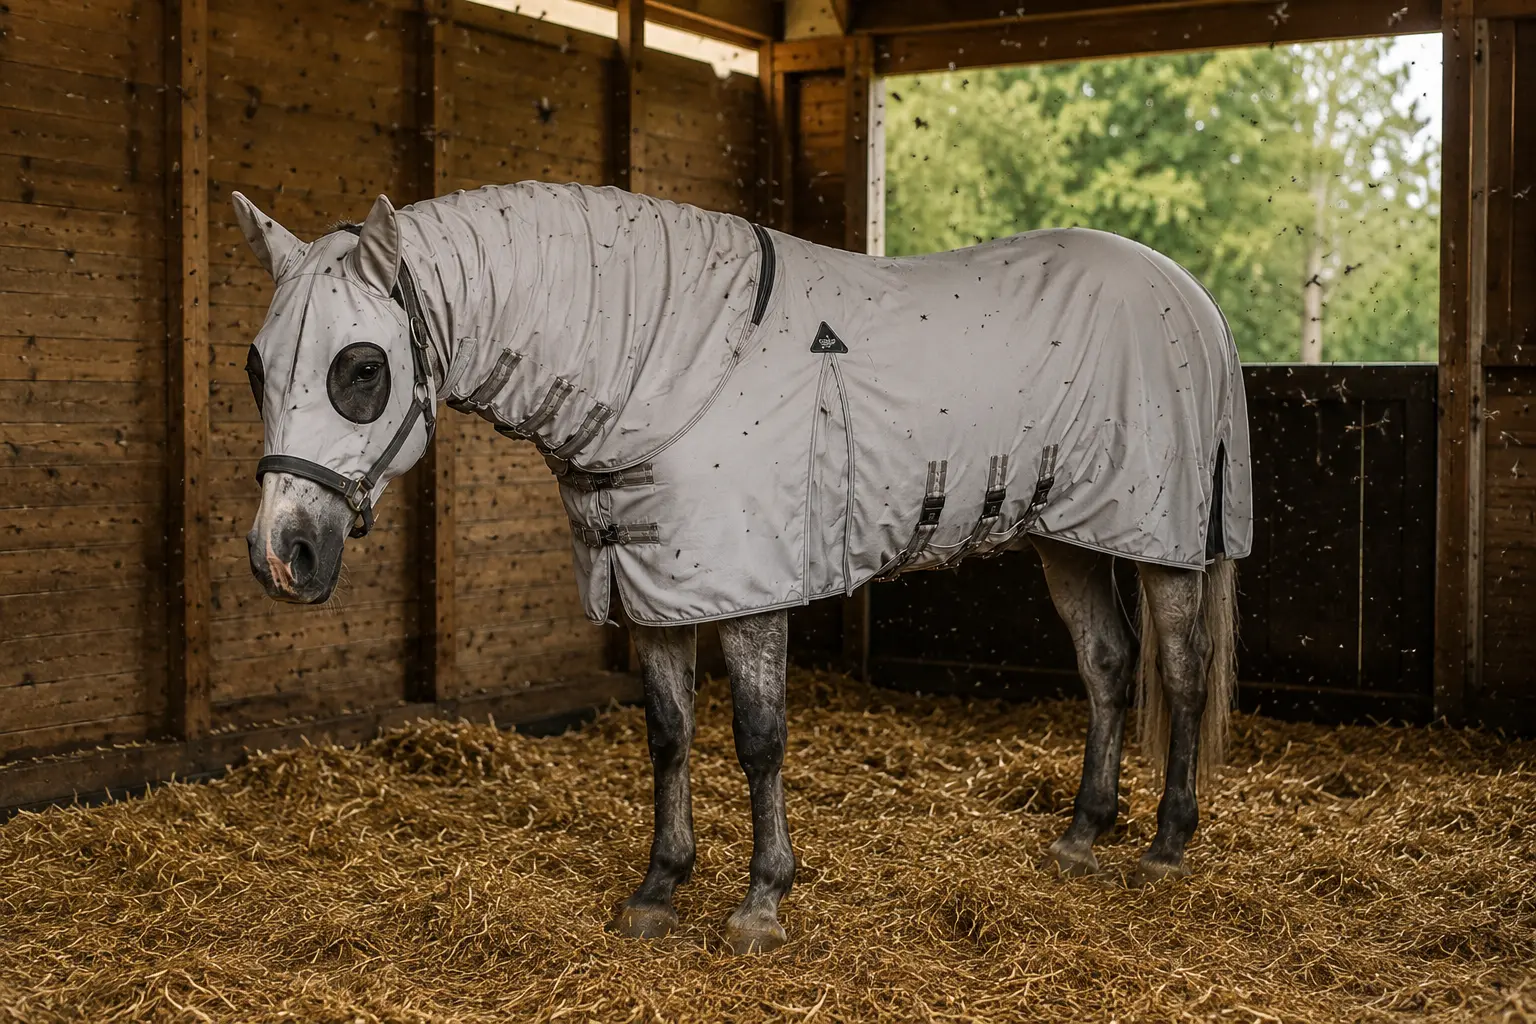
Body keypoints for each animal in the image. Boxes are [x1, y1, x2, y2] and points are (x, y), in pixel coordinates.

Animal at [234, 181, 1251, 955]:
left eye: (362, 369)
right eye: (253, 368)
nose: (282, 555)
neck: (667, 365)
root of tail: (1192, 295)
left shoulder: (750, 592)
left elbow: (758, 740)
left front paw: (761, 903)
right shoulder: (655, 590)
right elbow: (669, 736)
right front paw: (658, 889)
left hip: (1160, 540)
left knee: (1181, 673)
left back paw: (1165, 846)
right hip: (1067, 536)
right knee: (1108, 667)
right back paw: (1081, 836)